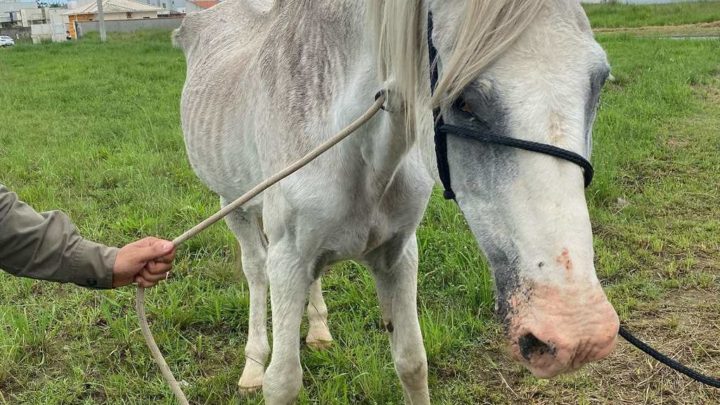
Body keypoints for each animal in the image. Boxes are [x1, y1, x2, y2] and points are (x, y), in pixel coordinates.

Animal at [174, 1, 620, 402]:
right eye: (463, 101)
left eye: (599, 81)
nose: (578, 332)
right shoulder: (287, 260)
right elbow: (282, 381)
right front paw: (264, 372)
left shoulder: (397, 256)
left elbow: (411, 362)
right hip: (235, 207)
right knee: (255, 271)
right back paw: (251, 366)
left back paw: (318, 331)